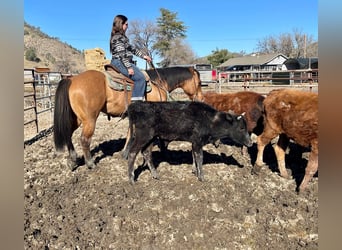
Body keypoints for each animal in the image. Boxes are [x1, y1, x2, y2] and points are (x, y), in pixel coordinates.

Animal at [53, 65, 203, 170]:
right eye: (200, 83)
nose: (201, 99)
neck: (158, 83)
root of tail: (71, 79)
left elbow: (130, 132)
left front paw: (124, 152)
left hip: (77, 119)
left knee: (68, 134)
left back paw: (72, 160)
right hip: (89, 120)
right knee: (84, 140)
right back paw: (90, 164)